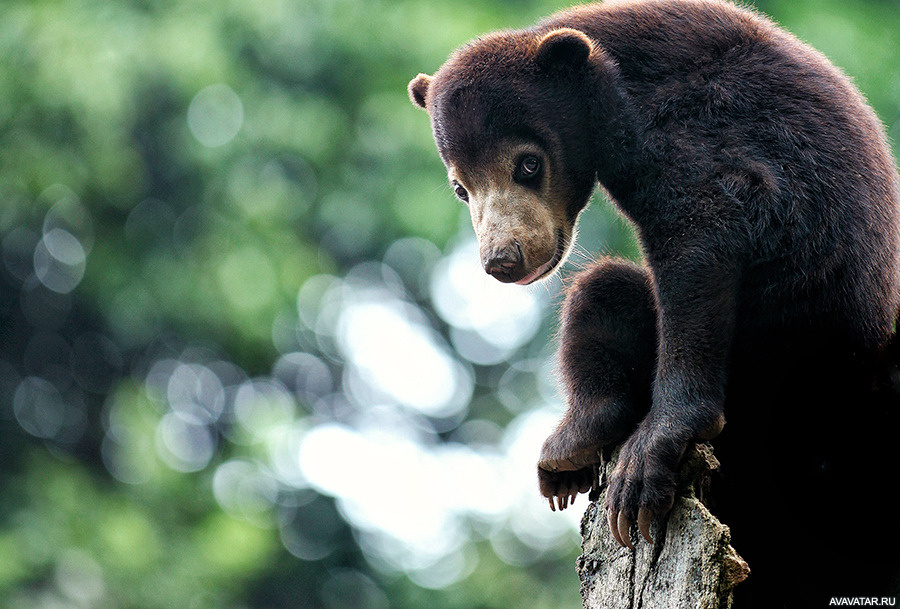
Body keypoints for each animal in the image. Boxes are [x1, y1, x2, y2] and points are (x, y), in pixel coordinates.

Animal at [412, 0, 900, 604]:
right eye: (461, 188)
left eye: (528, 163)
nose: (504, 259)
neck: (612, 86)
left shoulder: (689, 128)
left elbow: (702, 231)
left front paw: (648, 460)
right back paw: (571, 451)